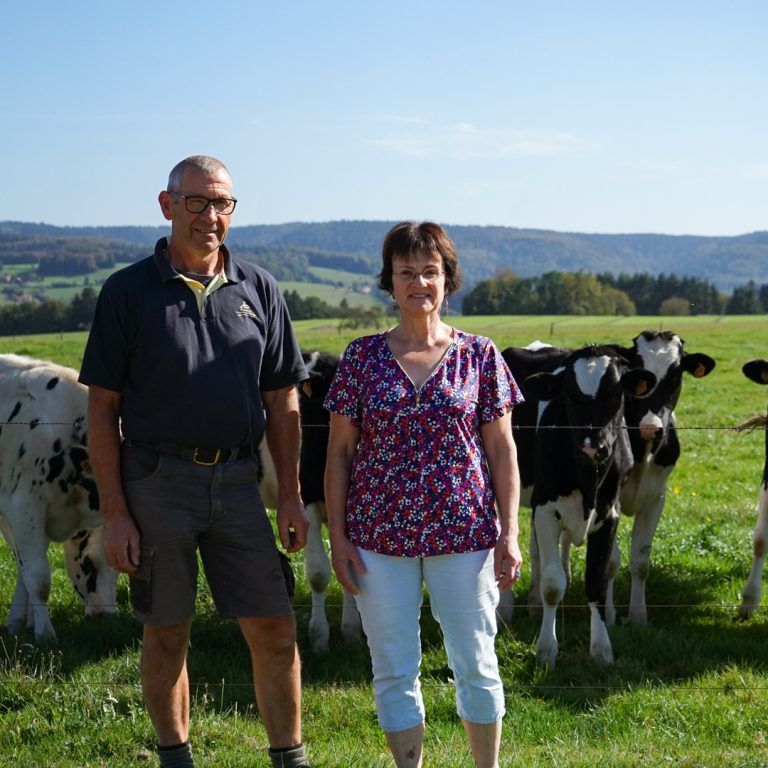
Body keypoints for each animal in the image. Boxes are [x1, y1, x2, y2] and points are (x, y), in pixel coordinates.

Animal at [0, 354, 117, 640]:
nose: (106, 616)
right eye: (88, 565)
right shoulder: (24, 508)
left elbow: (25, 568)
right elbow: (38, 576)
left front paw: (21, 623)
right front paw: (44, 633)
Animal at [504, 344, 656, 664]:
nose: (592, 447)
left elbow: (596, 581)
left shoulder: (609, 514)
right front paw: (546, 649)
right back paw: (506, 608)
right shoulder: (545, 509)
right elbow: (552, 585)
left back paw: (532, 603)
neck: (588, 479)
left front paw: (601, 648)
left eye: (615, 393)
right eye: (569, 395)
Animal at [608, 330, 716, 624]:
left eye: (676, 375)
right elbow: (610, 561)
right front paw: (607, 615)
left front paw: (638, 616)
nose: (649, 428)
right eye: (636, 373)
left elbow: (640, 560)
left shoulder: (656, 497)